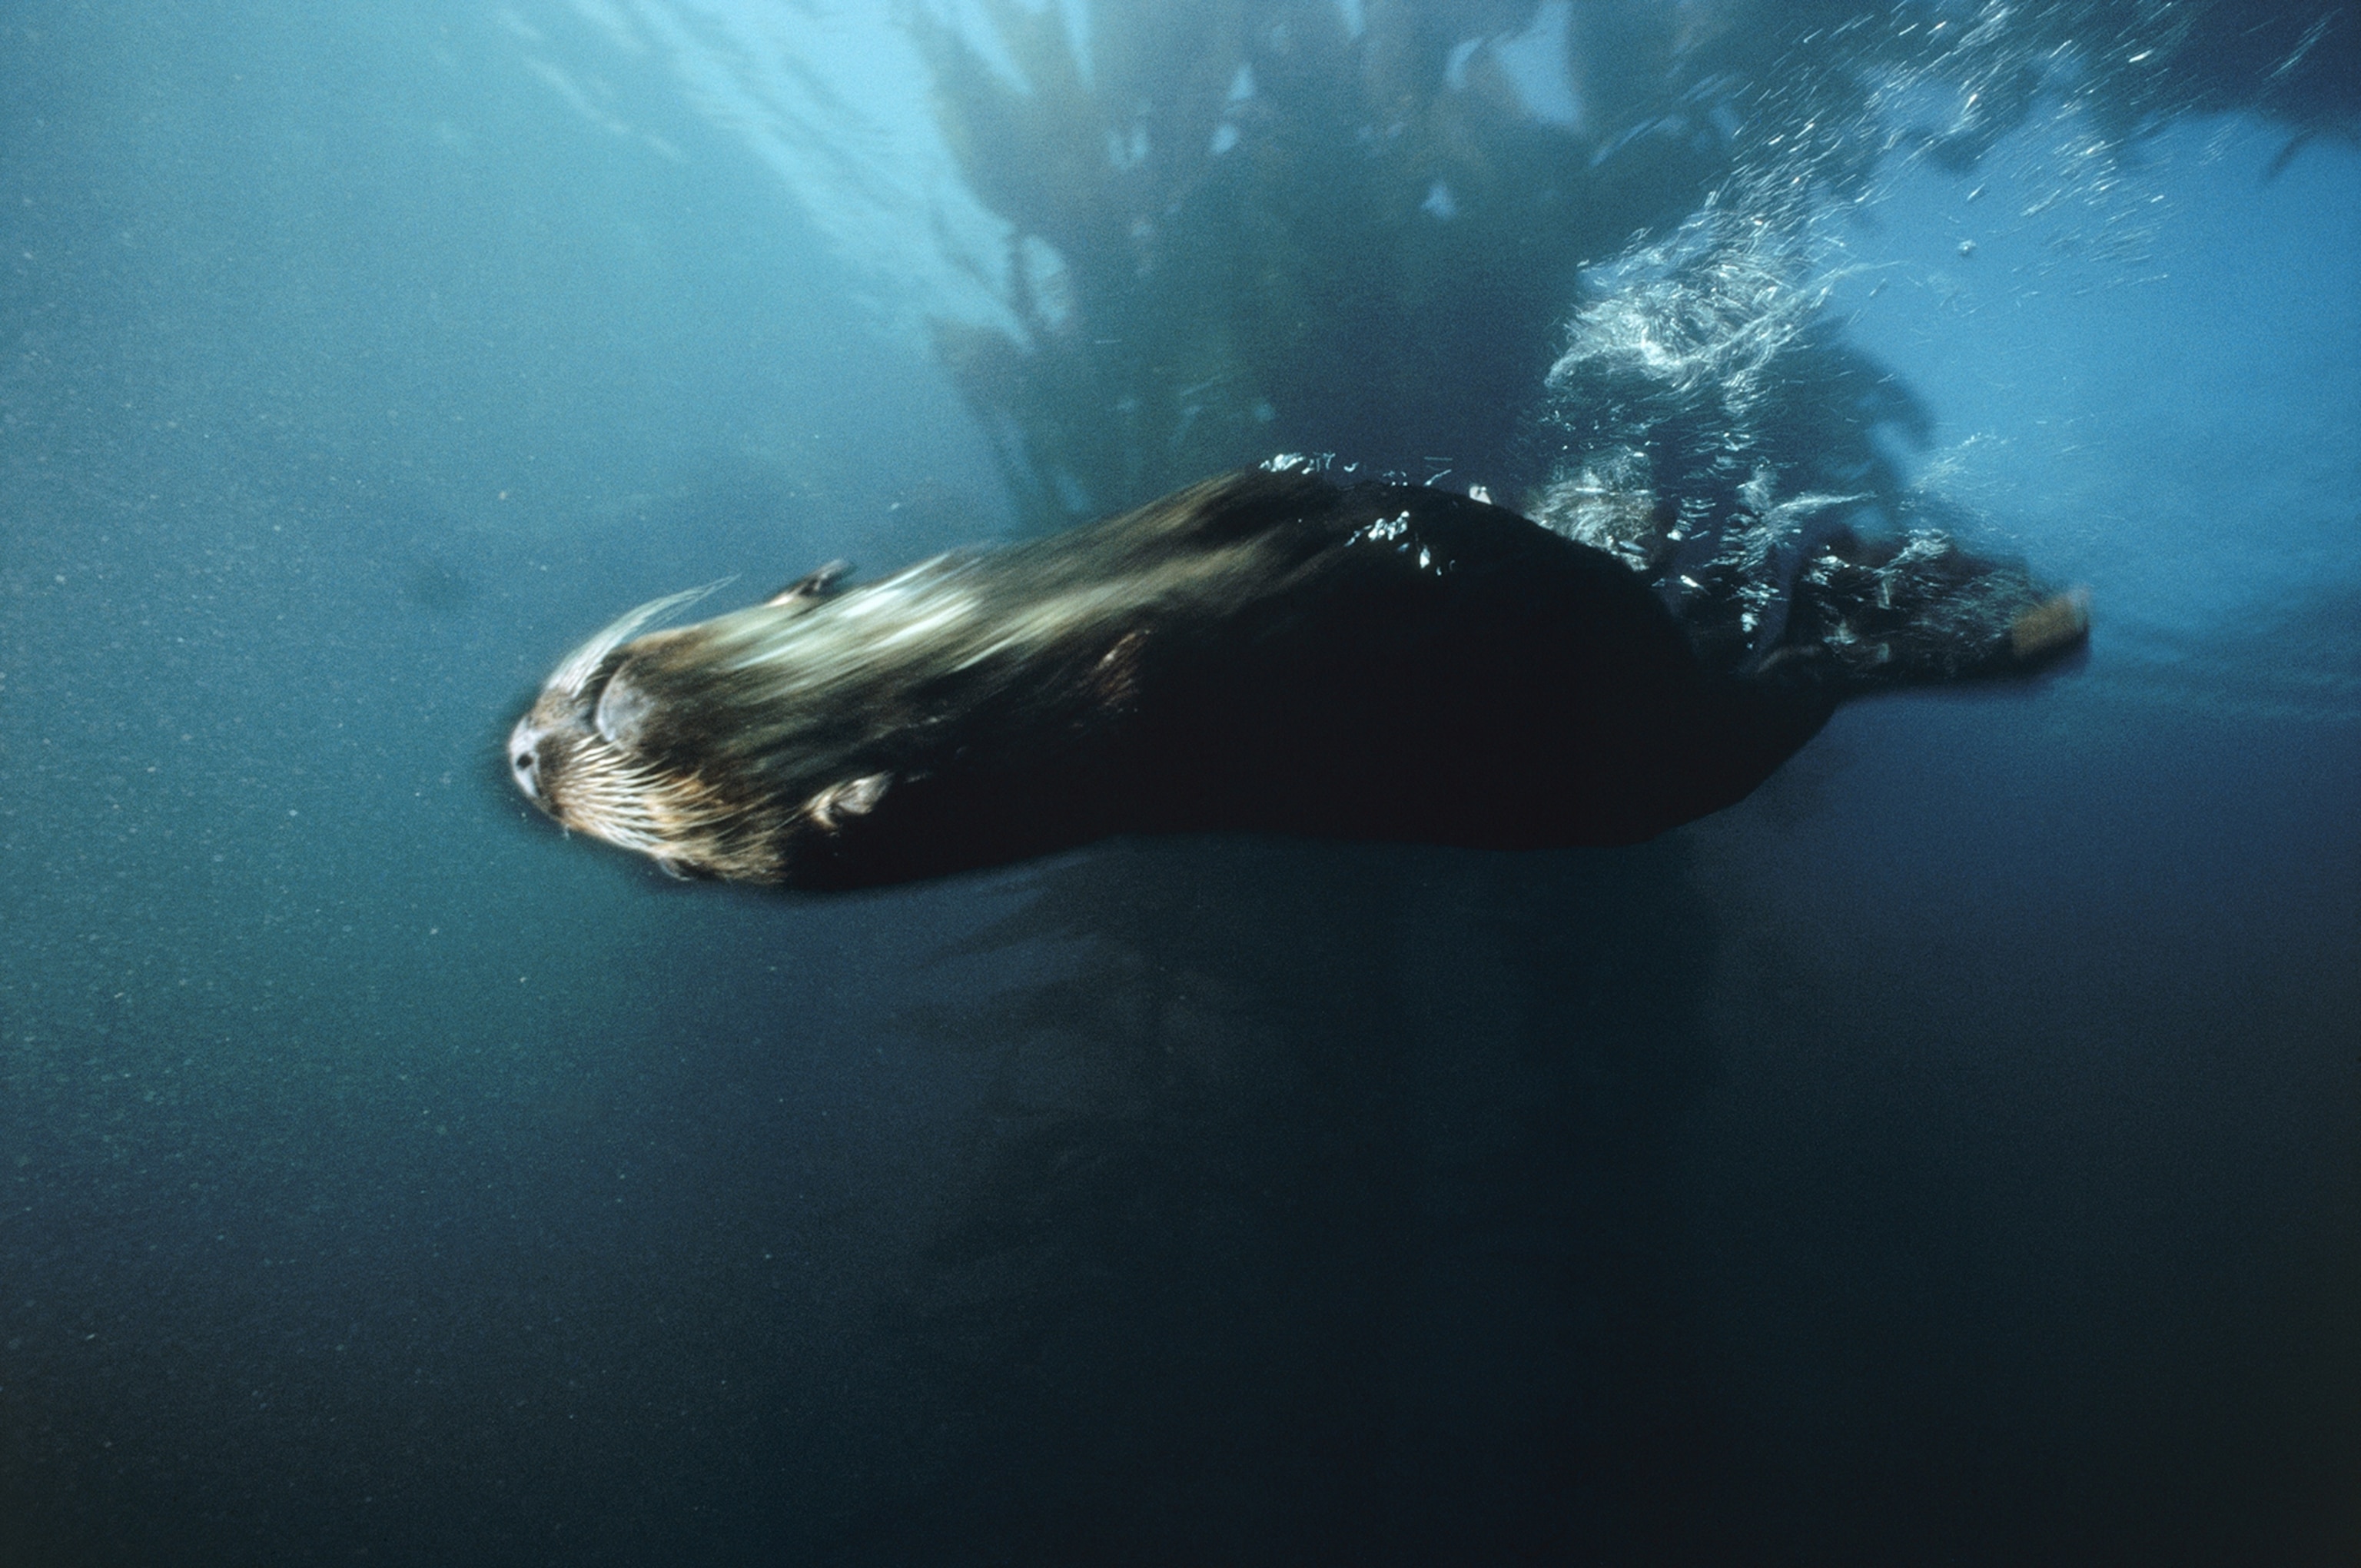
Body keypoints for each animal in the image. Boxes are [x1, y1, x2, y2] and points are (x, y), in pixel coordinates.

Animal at [507, 466, 2085, 889]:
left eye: (614, 701)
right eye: (677, 869)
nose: (524, 761)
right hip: (1685, 738)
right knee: (1802, 673)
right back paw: (1992, 618)